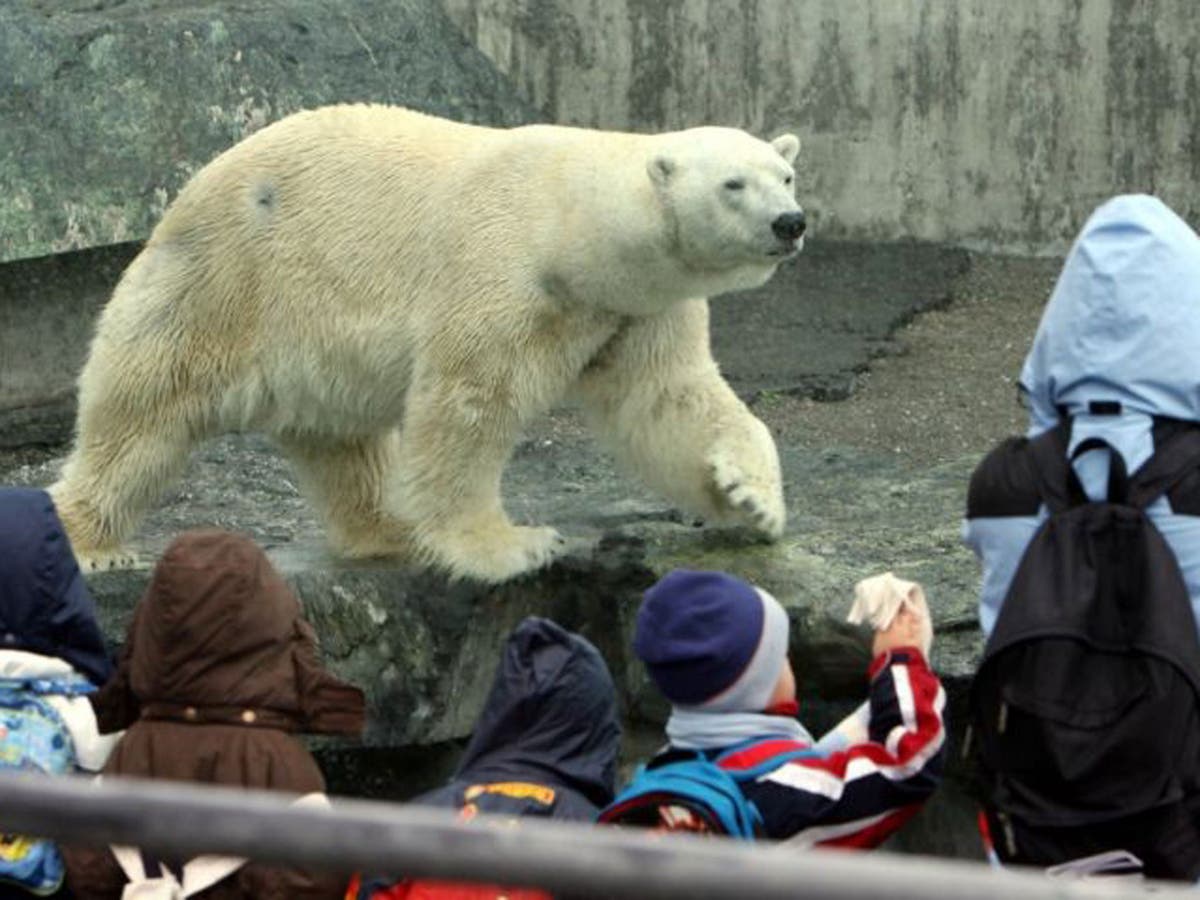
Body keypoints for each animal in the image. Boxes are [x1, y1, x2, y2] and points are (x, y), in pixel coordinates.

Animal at [54, 103, 806, 585]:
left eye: (786, 175)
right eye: (733, 184)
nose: (790, 222)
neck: (570, 223)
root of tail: (189, 190)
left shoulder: (633, 307)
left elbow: (669, 398)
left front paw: (751, 500)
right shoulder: (502, 271)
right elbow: (468, 405)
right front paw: (512, 547)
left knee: (344, 443)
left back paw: (388, 528)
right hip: (223, 283)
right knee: (142, 415)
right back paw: (90, 542)